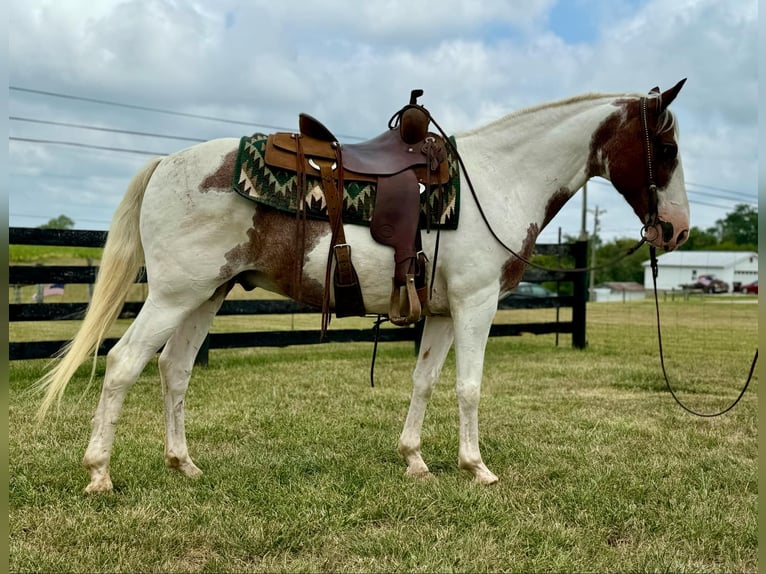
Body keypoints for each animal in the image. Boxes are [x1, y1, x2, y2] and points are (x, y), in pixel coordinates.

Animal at [36, 80, 690, 493]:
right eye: (667, 147)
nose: (676, 229)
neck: (498, 181)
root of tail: (166, 164)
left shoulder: (444, 313)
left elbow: (425, 382)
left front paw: (415, 461)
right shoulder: (475, 305)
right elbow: (469, 387)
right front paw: (476, 467)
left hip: (207, 295)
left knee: (174, 369)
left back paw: (184, 464)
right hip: (174, 295)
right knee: (123, 364)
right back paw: (99, 473)